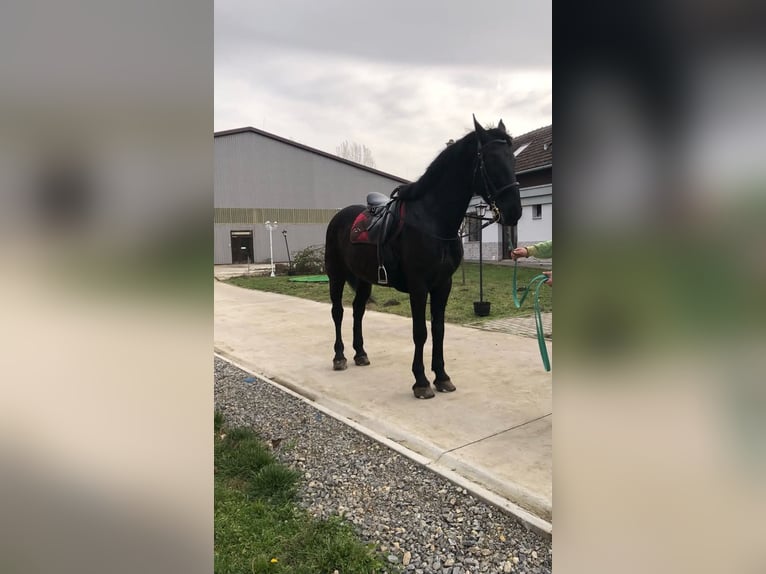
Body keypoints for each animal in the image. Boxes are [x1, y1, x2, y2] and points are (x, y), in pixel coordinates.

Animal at [324, 115, 520, 398]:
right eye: (490, 160)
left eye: (512, 159)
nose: (514, 211)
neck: (433, 221)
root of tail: (339, 217)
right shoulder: (418, 286)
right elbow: (420, 332)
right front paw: (421, 382)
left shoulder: (443, 285)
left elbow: (438, 330)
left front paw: (442, 377)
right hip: (336, 276)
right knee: (338, 312)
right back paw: (339, 357)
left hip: (363, 280)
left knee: (358, 311)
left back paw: (360, 353)